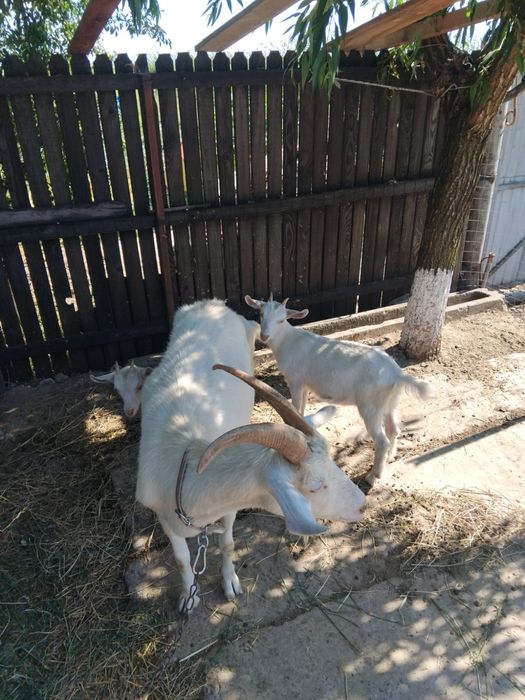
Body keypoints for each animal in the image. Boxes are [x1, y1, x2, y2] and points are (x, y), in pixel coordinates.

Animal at [136, 299, 366, 611]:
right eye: (315, 486)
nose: (363, 505)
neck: (182, 460)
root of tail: (211, 303)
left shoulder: (229, 507)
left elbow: (228, 543)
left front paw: (230, 583)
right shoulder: (163, 516)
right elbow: (182, 560)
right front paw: (188, 597)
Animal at [245, 294, 432, 485]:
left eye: (282, 320)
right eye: (260, 314)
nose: (264, 335)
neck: (288, 341)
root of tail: (397, 374)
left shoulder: (295, 381)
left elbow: (296, 406)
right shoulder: (305, 384)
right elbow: (301, 409)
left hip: (370, 405)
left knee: (382, 441)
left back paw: (373, 476)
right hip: (389, 402)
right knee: (393, 430)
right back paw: (390, 458)